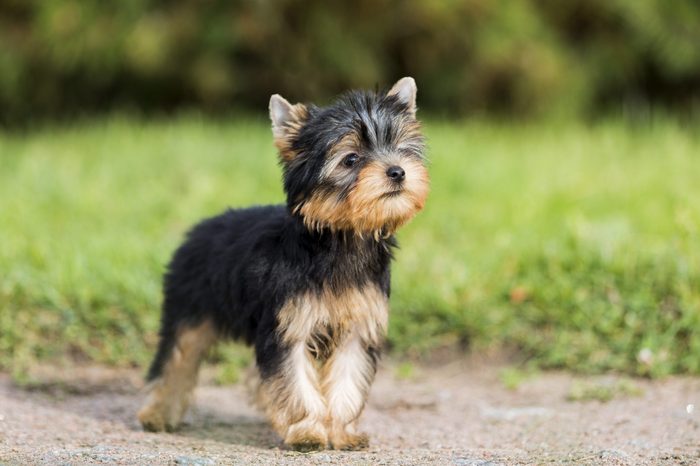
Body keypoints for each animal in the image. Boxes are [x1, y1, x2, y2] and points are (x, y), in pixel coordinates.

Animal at [137, 77, 430, 452]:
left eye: (400, 147)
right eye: (350, 159)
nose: (398, 172)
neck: (340, 237)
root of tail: (199, 228)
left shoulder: (357, 325)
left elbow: (347, 380)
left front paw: (341, 433)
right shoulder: (288, 324)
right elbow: (294, 379)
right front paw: (307, 431)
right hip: (188, 306)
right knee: (176, 358)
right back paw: (158, 414)